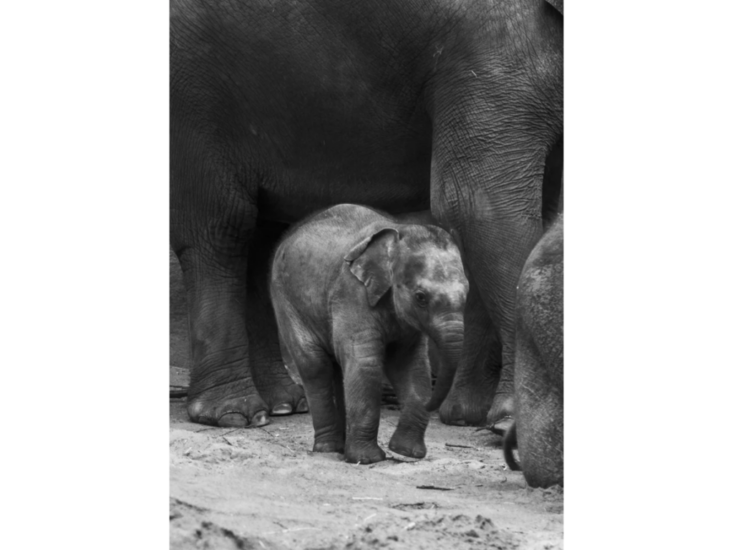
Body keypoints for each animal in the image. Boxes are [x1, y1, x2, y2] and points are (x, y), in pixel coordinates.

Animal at [170, 0, 563, 428]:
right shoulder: (489, 46)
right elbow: (476, 204)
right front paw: (509, 420)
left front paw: (468, 416)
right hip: (193, 87)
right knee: (221, 226)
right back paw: (235, 413)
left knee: (259, 236)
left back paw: (283, 404)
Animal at [270, 204, 468, 464]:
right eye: (421, 297)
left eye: (467, 294)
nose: (433, 405)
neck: (398, 230)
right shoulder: (352, 292)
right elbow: (366, 363)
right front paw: (368, 459)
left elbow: (411, 366)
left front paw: (406, 452)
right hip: (286, 301)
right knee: (315, 365)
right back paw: (328, 448)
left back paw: (341, 448)